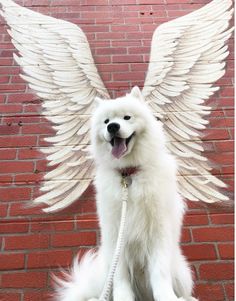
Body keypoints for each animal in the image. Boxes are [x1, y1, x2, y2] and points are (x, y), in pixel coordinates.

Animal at [55, 85, 197, 298]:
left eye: (127, 117)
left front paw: (166, 297)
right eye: (106, 121)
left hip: (181, 273)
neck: (128, 174)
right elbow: (120, 277)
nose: (112, 127)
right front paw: (123, 297)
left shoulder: (158, 230)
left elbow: (160, 272)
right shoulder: (116, 233)